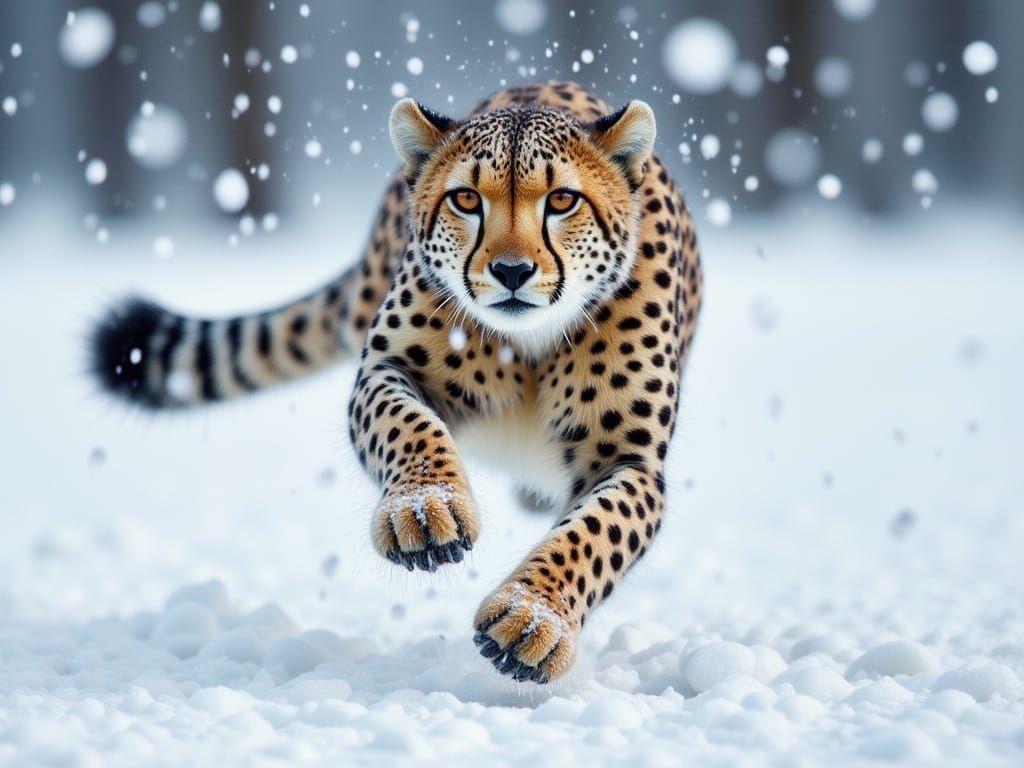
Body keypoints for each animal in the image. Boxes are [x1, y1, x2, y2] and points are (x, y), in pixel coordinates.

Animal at [91, 81, 703, 684]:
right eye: (466, 199)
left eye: (562, 200)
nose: (511, 271)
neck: (528, 345)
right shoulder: (385, 369)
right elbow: (408, 426)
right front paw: (424, 511)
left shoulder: (631, 460)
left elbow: (594, 533)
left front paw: (533, 617)